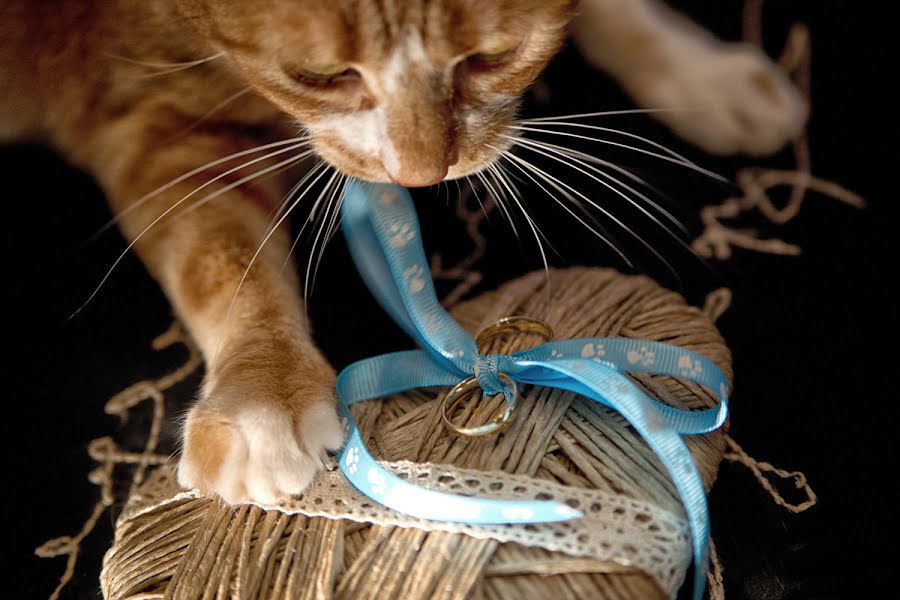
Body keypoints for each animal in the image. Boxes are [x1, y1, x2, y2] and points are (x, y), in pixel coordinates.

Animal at [0, 2, 804, 504]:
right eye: (318, 75)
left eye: (492, 57)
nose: (419, 175)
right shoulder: (150, 122)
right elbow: (222, 256)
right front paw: (261, 394)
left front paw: (699, 71)